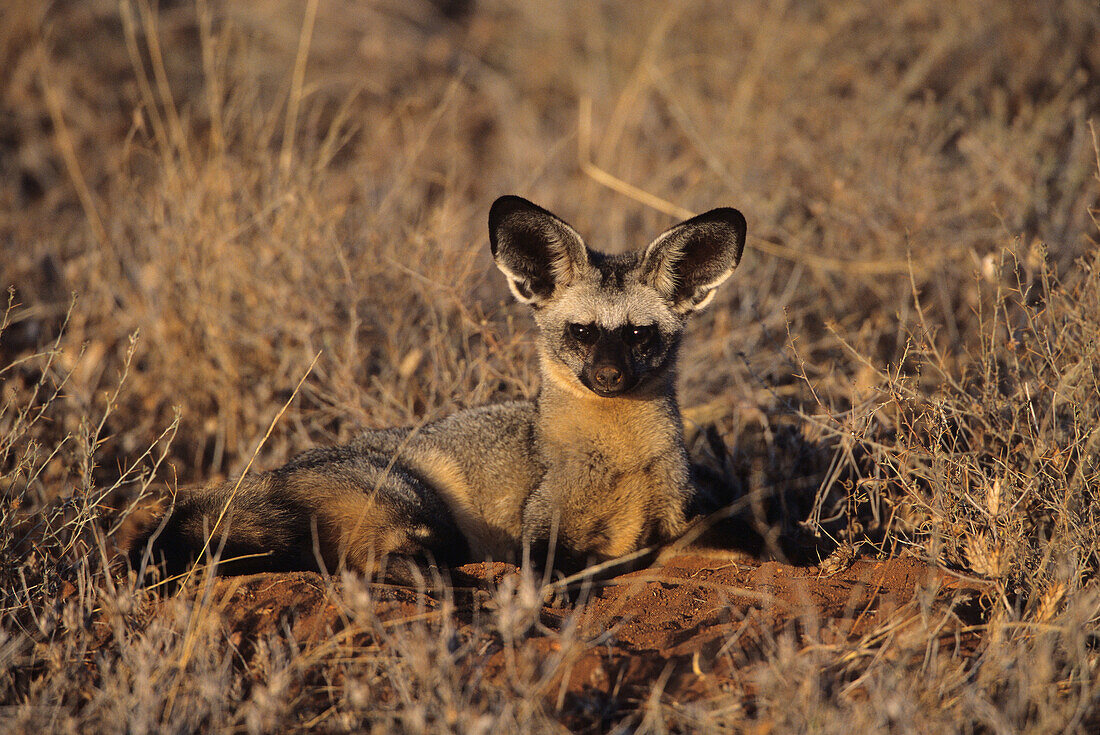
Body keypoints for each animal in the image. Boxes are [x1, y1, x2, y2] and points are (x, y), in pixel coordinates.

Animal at [130, 196, 748, 585]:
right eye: (582, 332)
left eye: (639, 334)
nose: (608, 379)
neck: (622, 465)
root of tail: (272, 475)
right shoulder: (539, 533)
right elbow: (555, 565)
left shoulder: (675, 516)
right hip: (422, 511)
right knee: (389, 566)